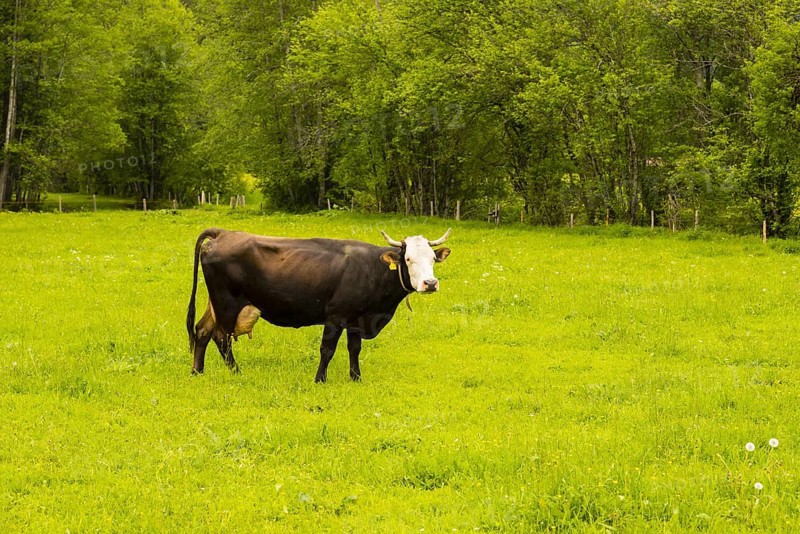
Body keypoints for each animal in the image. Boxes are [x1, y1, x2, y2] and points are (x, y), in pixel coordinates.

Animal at [186, 227, 452, 382]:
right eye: (408, 259)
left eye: (432, 259)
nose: (430, 283)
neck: (372, 268)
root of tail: (224, 233)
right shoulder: (335, 316)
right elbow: (327, 349)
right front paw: (320, 379)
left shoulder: (356, 319)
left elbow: (354, 349)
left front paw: (355, 378)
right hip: (226, 304)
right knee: (221, 337)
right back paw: (236, 372)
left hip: (215, 304)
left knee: (202, 330)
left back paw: (197, 371)